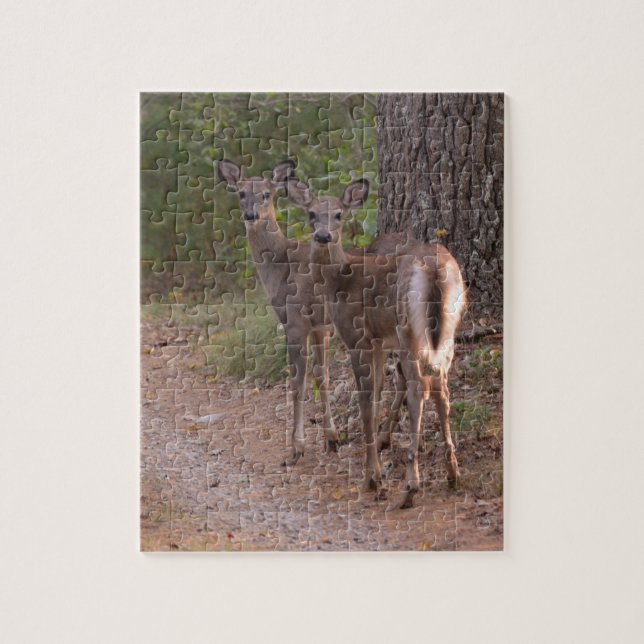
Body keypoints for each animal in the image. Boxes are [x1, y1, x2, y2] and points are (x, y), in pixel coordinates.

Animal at [287, 178, 466, 509]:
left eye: (339, 214)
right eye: (311, 214)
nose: (322, 236)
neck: (340, 280)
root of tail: (434, 268)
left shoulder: (358, 337)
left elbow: (366, 403)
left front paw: (373, 477)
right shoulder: (380, 340)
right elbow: (378, 394)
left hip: (408, 328)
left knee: (419, 387)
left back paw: (411, 486)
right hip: (448, 327)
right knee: (441, 387)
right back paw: (452, 473)